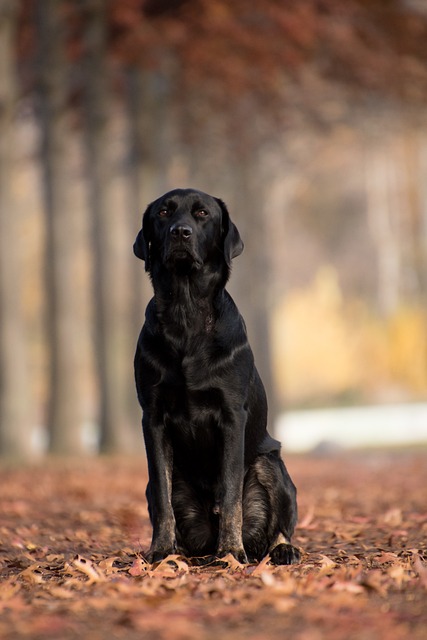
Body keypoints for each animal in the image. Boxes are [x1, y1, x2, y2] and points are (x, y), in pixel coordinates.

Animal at [134, 186, 300, 564]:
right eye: (163, 212)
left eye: (202, 214)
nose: (180, 232)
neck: (186, 313)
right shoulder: (153, 417)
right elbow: (163, 498)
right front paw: (161, 550)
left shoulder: (231, 415)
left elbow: (230, 492)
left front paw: (231, 551)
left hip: (272, 465)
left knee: (279, 526)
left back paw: (282, 549)